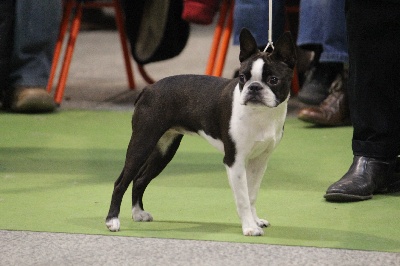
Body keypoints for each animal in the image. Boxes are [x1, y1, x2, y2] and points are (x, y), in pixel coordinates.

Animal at [104, 28, 296, 235]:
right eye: (242, 78)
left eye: (273, 80)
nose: (254, 87)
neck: (261, 115)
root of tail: (148, 89)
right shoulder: (234, 161)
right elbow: (243, 198)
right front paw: (249, 228)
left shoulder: (259, 160)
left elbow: (251, 194)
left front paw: (255, 221)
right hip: (143, 142)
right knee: (121, 182)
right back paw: (112, 220)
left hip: (164, 150)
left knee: (140, 179)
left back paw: (138, 213)